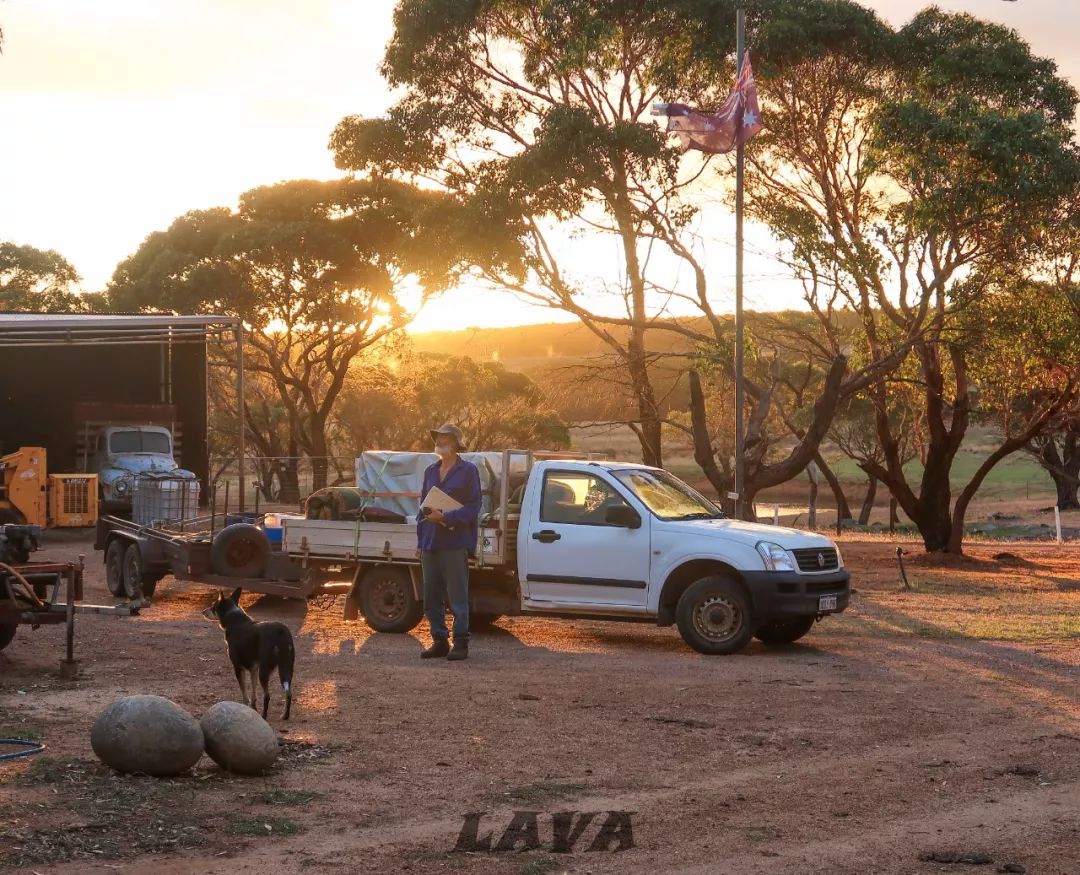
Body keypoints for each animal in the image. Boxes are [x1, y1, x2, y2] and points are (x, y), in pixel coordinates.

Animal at [203, 587, 293, 717]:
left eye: (212, 606)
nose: (203, 612)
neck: (235, 620)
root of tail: (280, 631)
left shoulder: (238, 667)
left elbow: (244, 693)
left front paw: (245, 707)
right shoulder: (253, 668)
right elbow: (253, 694)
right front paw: (252, 708)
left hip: (265, 670)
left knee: (267, 696)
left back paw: (264, 715)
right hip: (286, 669)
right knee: (288, 693)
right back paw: (285, 716)